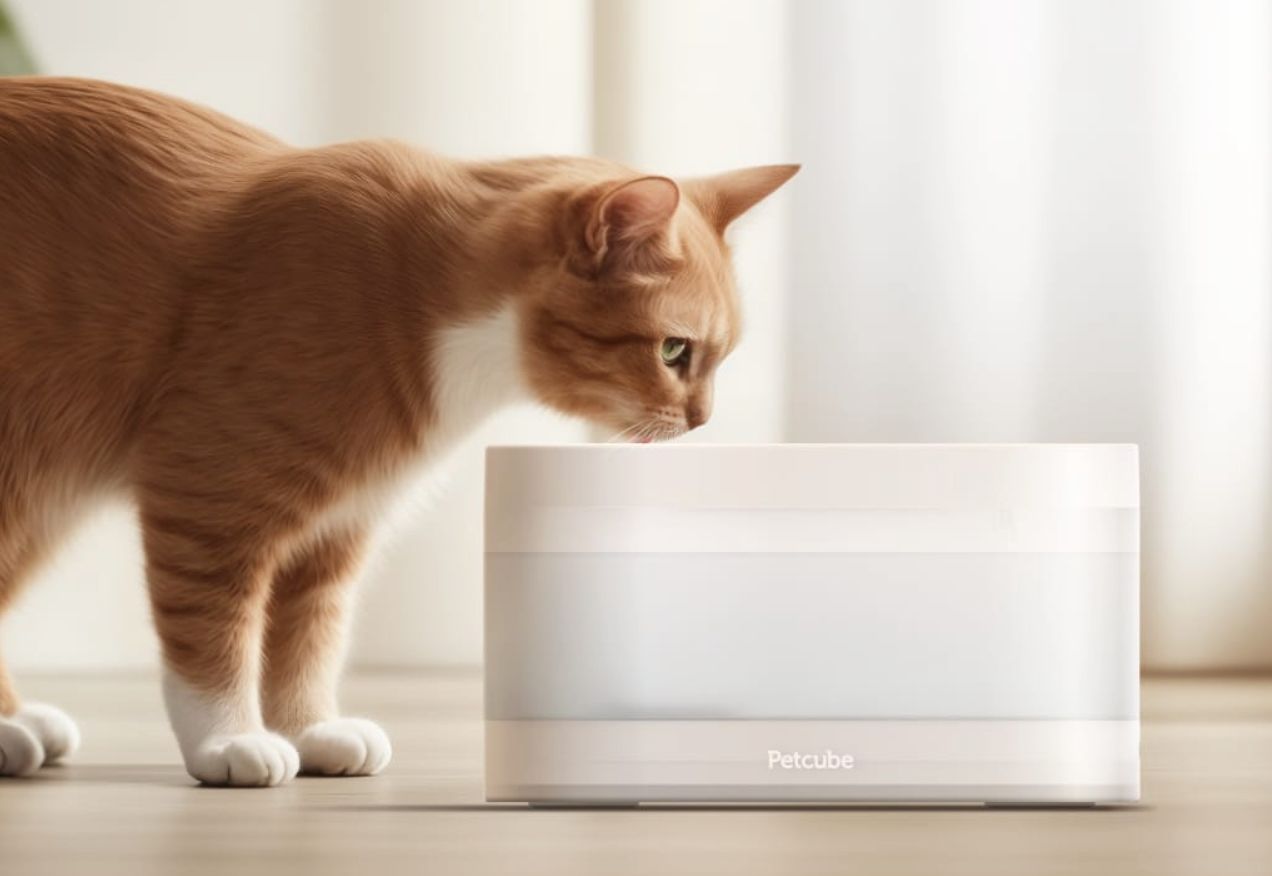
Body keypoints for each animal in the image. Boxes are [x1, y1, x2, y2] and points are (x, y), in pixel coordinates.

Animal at [0, 76, 793, 788]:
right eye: (674, 351)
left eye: (719, 356)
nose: (702, 419)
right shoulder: (206, 493)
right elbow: (214, 637)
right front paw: (229, 740)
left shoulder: (336, 527)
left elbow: (308, 640)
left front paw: (311, 728)